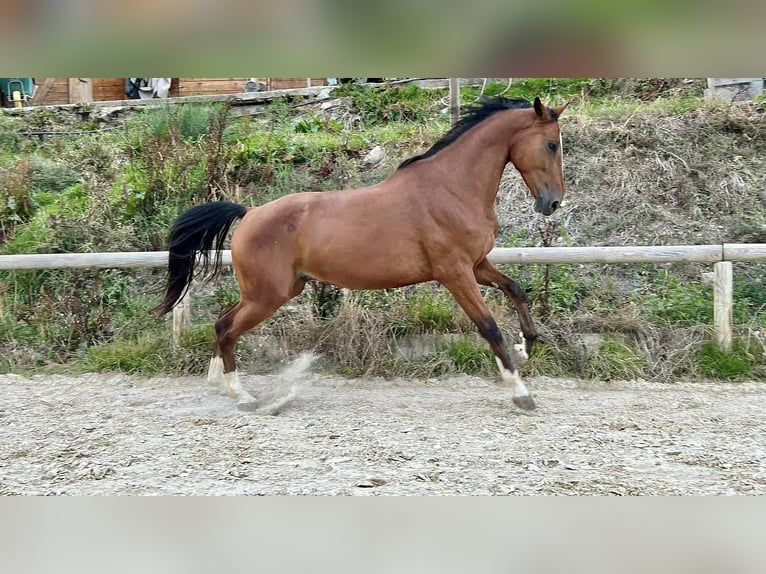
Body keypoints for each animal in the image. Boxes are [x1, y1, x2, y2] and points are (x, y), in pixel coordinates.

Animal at [153, 97, 568, 414]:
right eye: (552, 144)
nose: (553, 203)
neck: (451, 189)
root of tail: (250, 212)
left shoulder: (478, 264)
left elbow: (516, 289)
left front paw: (526, 348)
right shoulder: (455, 272)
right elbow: (489, 327)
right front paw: (521, 393)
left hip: (274, 291)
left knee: (222, 325)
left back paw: (218, 383)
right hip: (267, 295)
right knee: (226, 328)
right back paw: (241, 395)